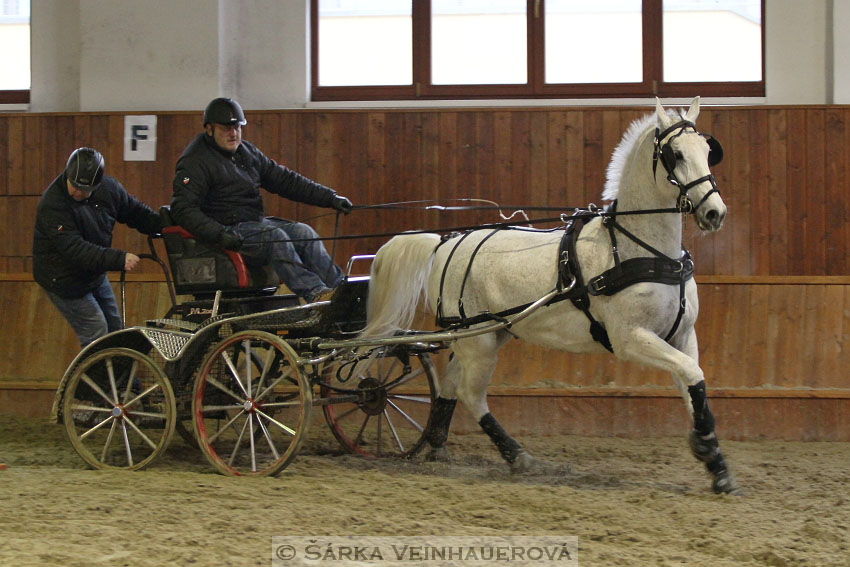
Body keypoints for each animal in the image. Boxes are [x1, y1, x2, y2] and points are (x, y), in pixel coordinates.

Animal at [358, 98, 736, 496]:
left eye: (708, 151)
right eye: (675, 154)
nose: (714, 213)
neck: (644, 251)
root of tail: (445, 242)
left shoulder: (681, 335)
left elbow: (693, 383)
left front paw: (714, 461)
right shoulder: (630, 339)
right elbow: (691, 374)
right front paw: (707, 449)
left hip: (480, 335)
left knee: (449, 387)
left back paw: (437, 446)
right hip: (479, 344)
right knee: (471, 395)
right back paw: (515, 455)